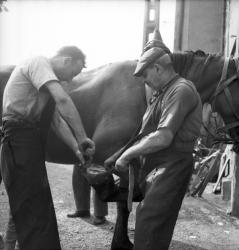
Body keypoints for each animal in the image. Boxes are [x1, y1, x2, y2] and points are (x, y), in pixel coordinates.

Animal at [0, 49, 239, 249]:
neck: (144, 92)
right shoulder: (110, 157)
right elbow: (123, 201)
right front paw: (121, 241)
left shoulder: (127, 160)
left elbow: (124, 203)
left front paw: (122, 241)